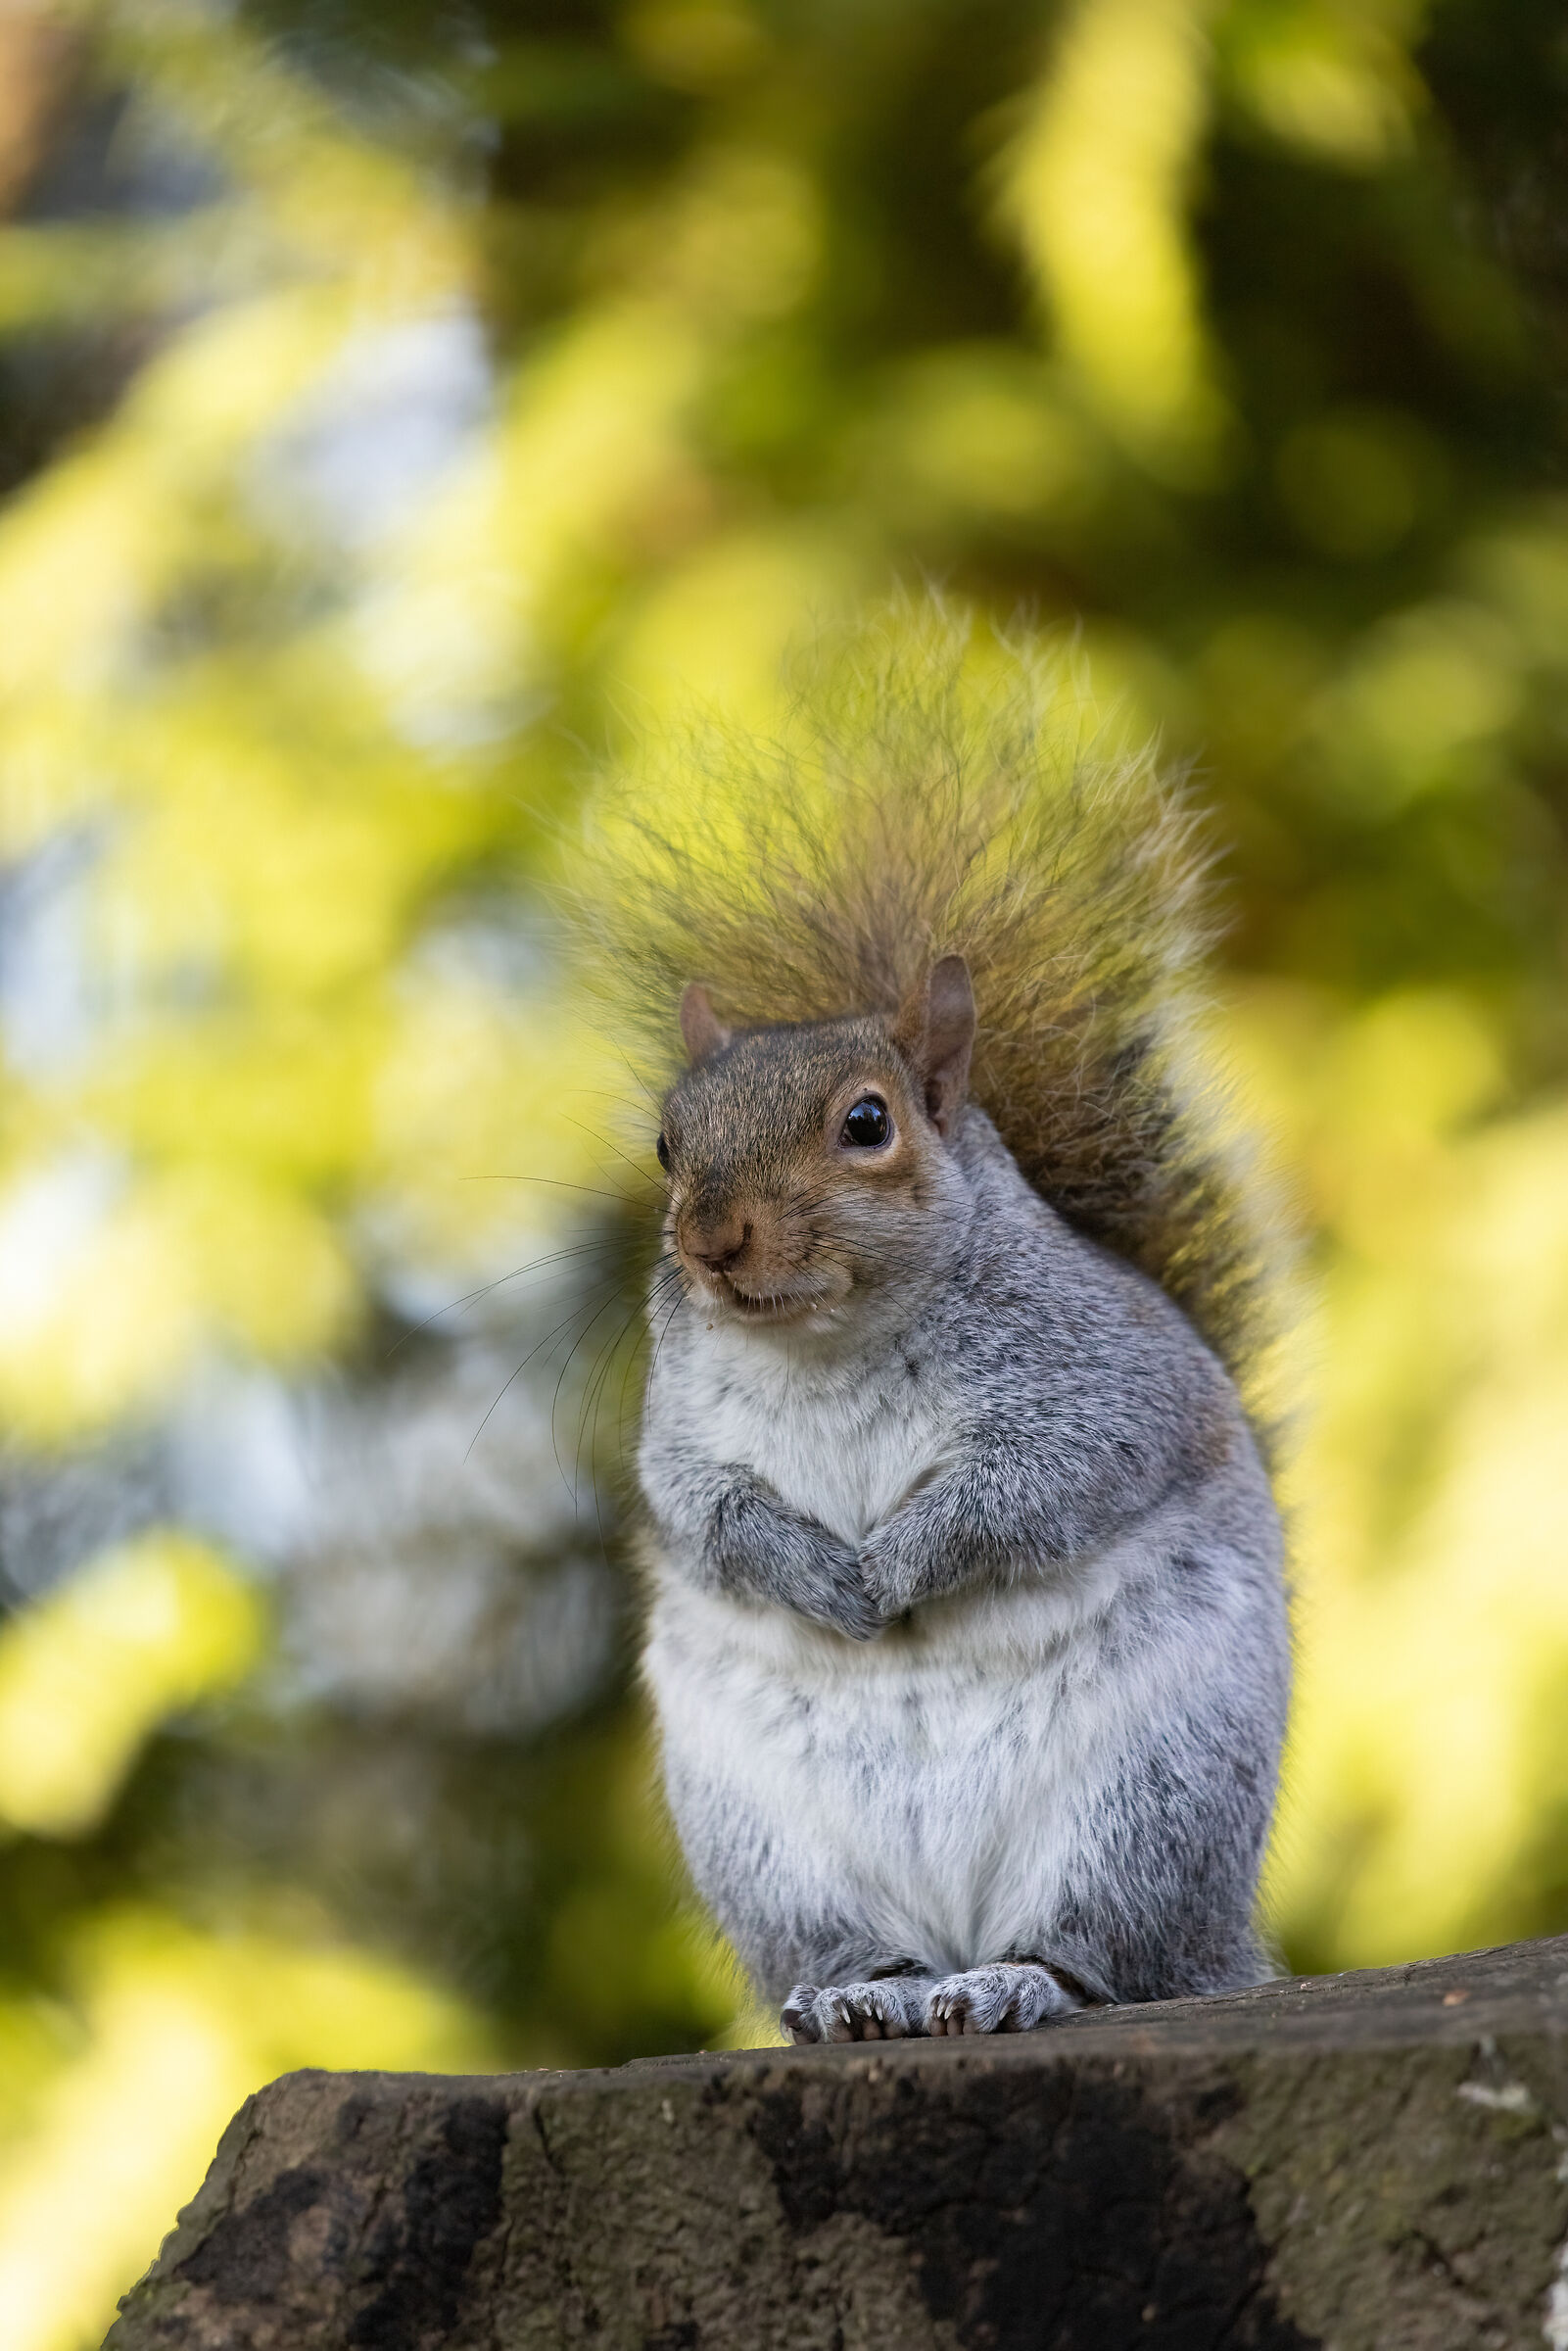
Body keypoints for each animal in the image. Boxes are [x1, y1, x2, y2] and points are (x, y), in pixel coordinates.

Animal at [589, 606, 1290, 2042]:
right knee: (863, 1950)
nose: (711, 1240)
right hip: (774, 1855)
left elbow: (1028, 1489)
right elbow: (706, 1514)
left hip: (1150, 1802)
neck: (829, 1342)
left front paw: (895, 1569)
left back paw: (1015, 1981)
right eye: (666, 1145)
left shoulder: (1095, 1390)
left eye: (867, 1123)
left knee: (1097, 1955)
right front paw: (821, 1578)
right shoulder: (683, 1438)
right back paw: (862, 2000)